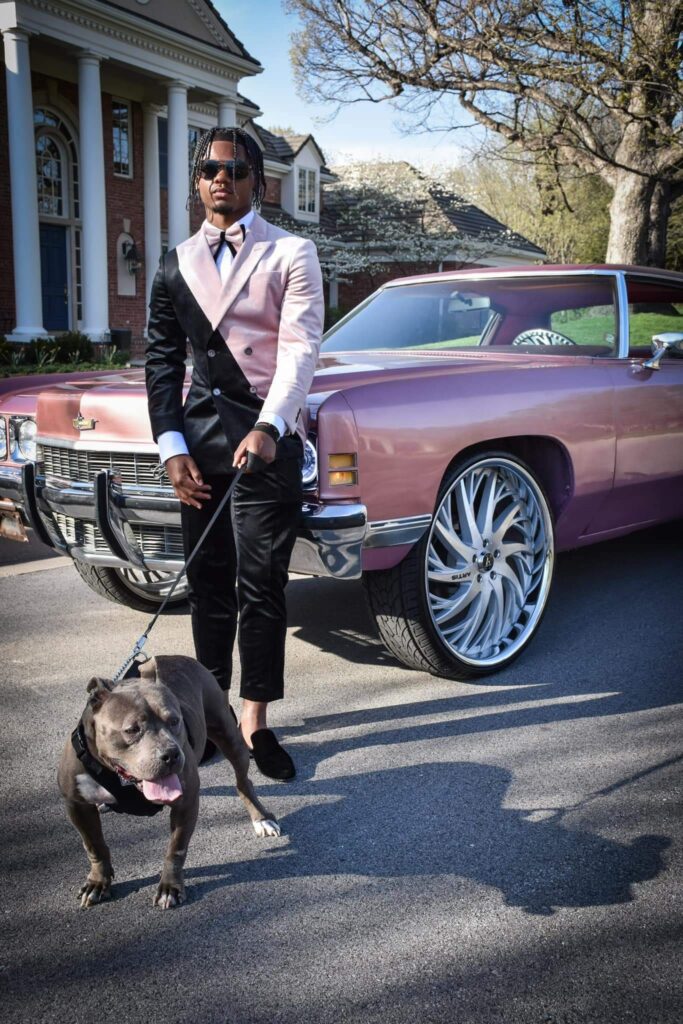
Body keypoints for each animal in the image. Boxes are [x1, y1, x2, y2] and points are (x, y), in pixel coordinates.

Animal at [58, 651, 280, 909]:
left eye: (175, 721)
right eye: (132, 729)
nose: (172, 754)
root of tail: (177, 656)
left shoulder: (186, 801)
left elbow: (176, 848)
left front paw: (170, 887)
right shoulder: (76, 804)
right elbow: (94, 845)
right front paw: (97, 881)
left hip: (229, 737)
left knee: (243, 782)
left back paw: (262, 819)